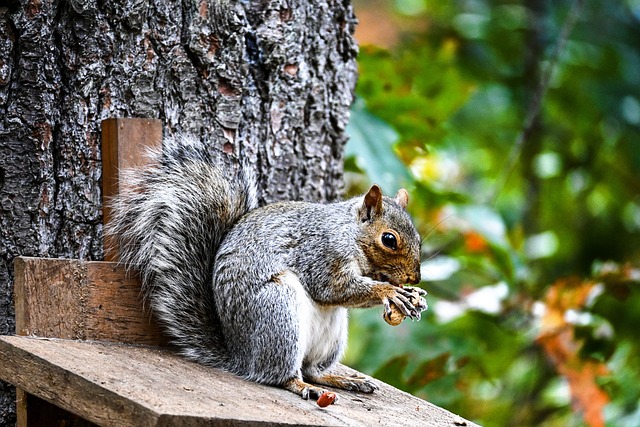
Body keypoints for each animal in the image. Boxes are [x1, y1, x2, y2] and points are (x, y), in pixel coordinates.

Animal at [106, 136, 424, 404]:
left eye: (419, 239)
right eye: (389, 239)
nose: (414, 277)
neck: (347, 232)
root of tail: (242, 357)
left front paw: (413, 296)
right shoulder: (321, 252)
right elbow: (331, 288)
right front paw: (390, 292)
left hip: (330, 335)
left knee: (313, 369)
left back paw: (343, 379)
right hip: (279, 312)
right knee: (280, 375)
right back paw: (301, 386)